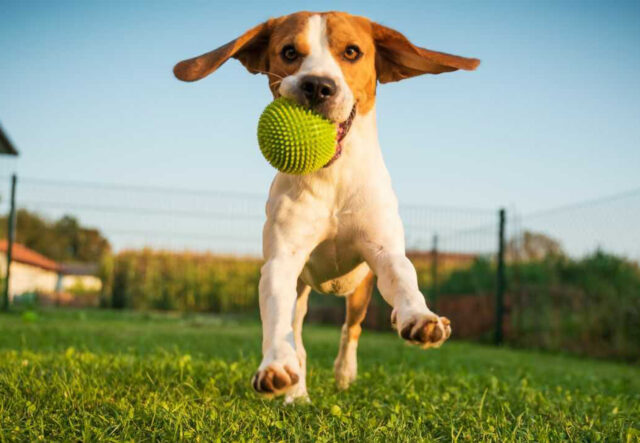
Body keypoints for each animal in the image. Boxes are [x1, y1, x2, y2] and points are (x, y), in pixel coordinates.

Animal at [172, 11, 478, 406]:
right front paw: (276, 368)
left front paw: (420, 318)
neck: (332, 177)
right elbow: (278, 321)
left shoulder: (383, 250)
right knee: (298, 337)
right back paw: (297, 391)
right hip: (302, 291)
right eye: (289, 52)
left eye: (352, 52)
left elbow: (403, 278)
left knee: (352, 329)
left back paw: (346, 373)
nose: (317, 86)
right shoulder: (281, 262)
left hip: (361, 289)